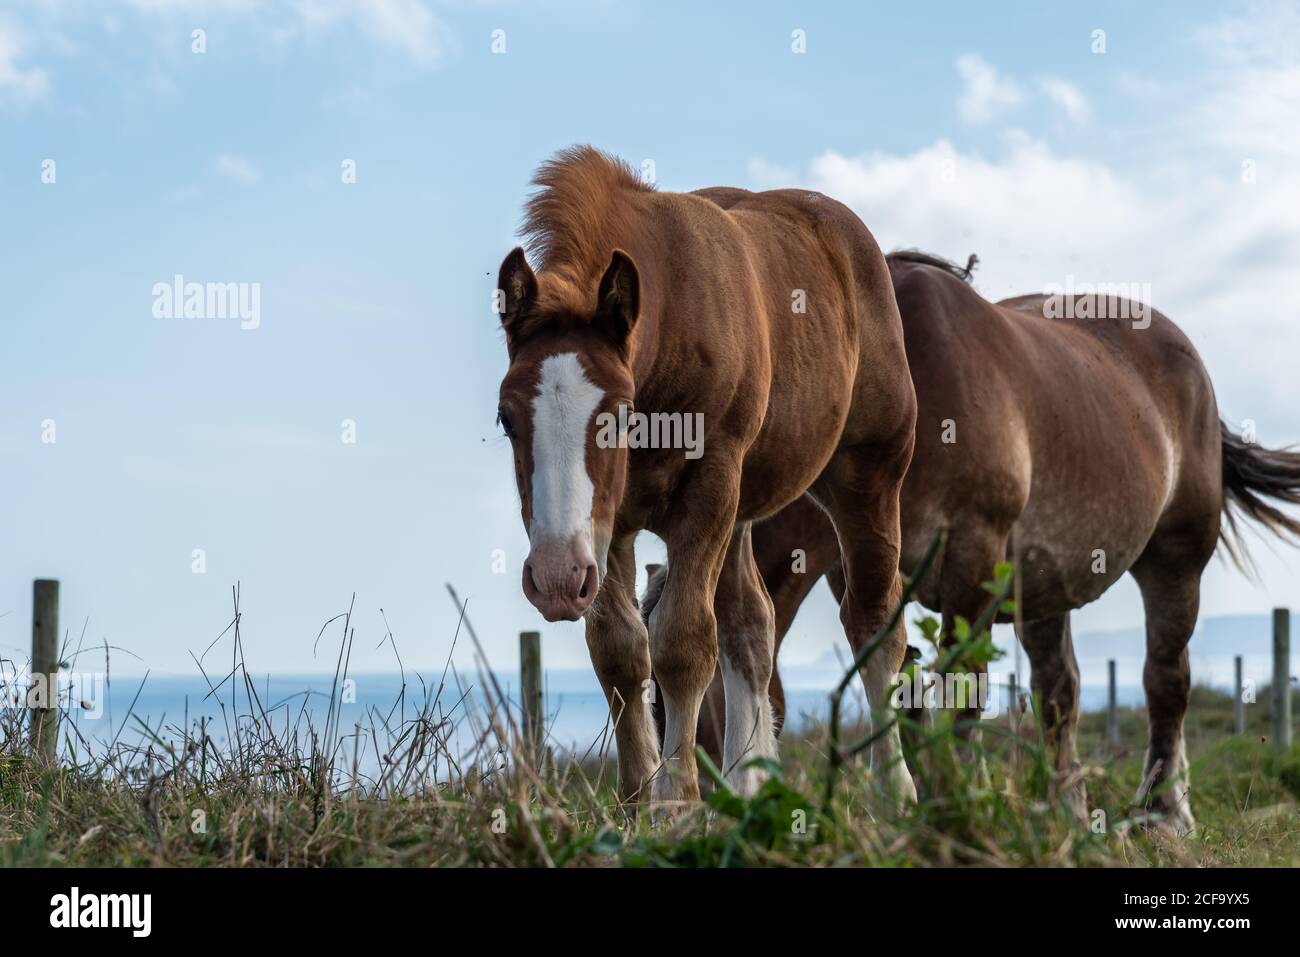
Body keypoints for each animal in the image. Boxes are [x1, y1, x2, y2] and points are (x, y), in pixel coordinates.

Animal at [492, 146, 918, 804]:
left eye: (619, 415)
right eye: (506, 418)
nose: (557, 578)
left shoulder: (708, 488)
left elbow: (682, 643)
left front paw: (678, 801)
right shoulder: (611, 522)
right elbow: (620, 651)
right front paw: (636, 804)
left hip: (868, 476)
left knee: (874, 621)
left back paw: (896, 792)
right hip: (739, 511)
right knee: (751, 624)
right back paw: (747, 783)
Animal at [646, 250, 1300, 832]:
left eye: (693, 695)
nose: (691, 812)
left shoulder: (972, 557)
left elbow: (963, 689)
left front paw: (961, 798)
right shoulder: (861, 567)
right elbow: (905, 681)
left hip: (1174, 562)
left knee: (1166, 681)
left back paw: (1163, 813)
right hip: (1045, 586)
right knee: (1059, 690)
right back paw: (1063, 810)